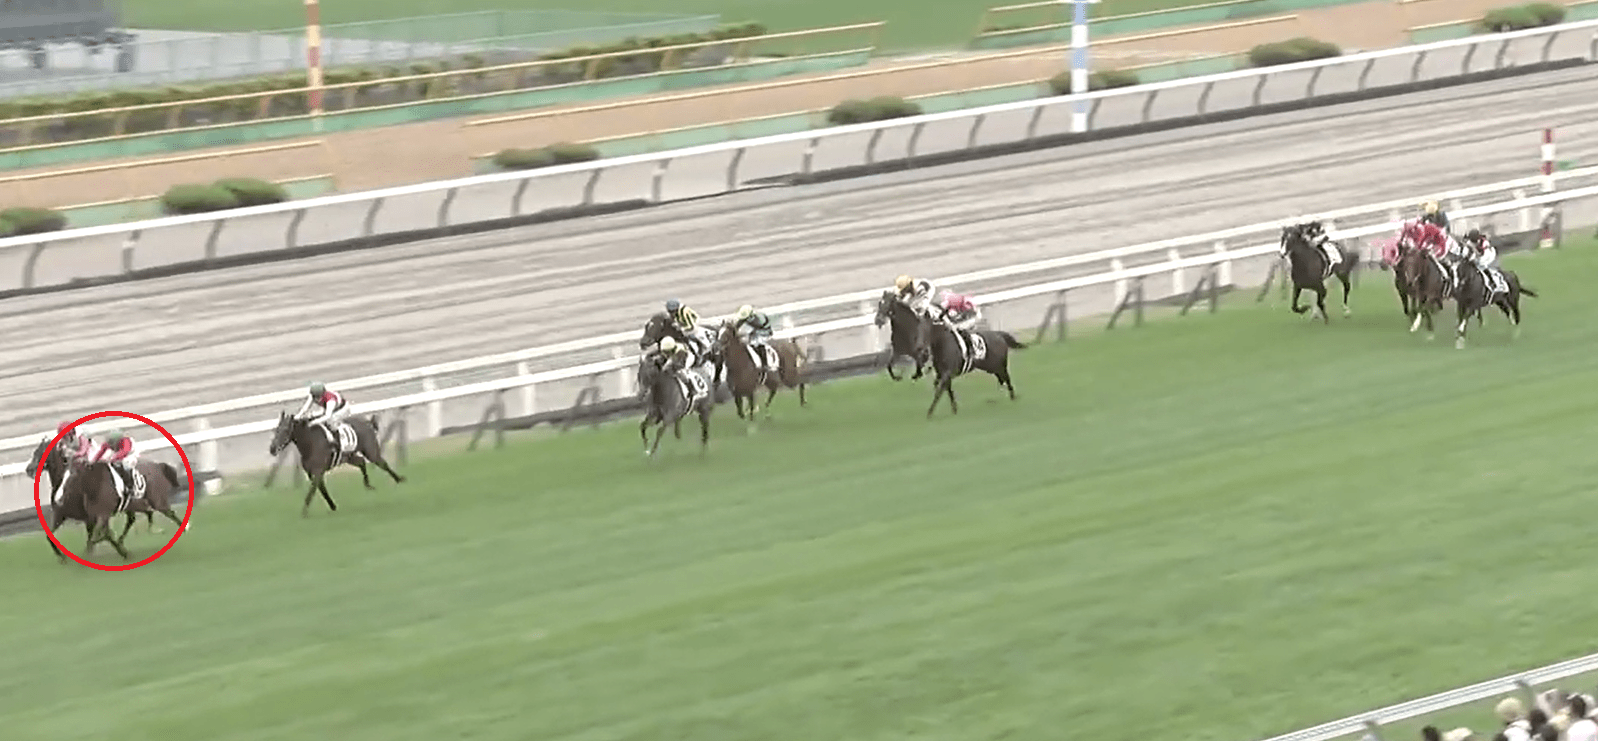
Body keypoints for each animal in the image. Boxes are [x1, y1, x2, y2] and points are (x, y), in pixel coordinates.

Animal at [268, 411, 405, 517]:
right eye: (276, 429)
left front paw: (304, 512)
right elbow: (322, 490)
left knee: (382, 463)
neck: (310, 443)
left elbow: (312, 492)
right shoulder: (313, 474)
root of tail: (367, 422)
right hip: (349, 457)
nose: (272, 449)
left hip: (371, 452)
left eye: (285, 430)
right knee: (361, 462)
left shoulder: (318, 471)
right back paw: (368, 484)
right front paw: (333, 506)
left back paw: (399, 479)